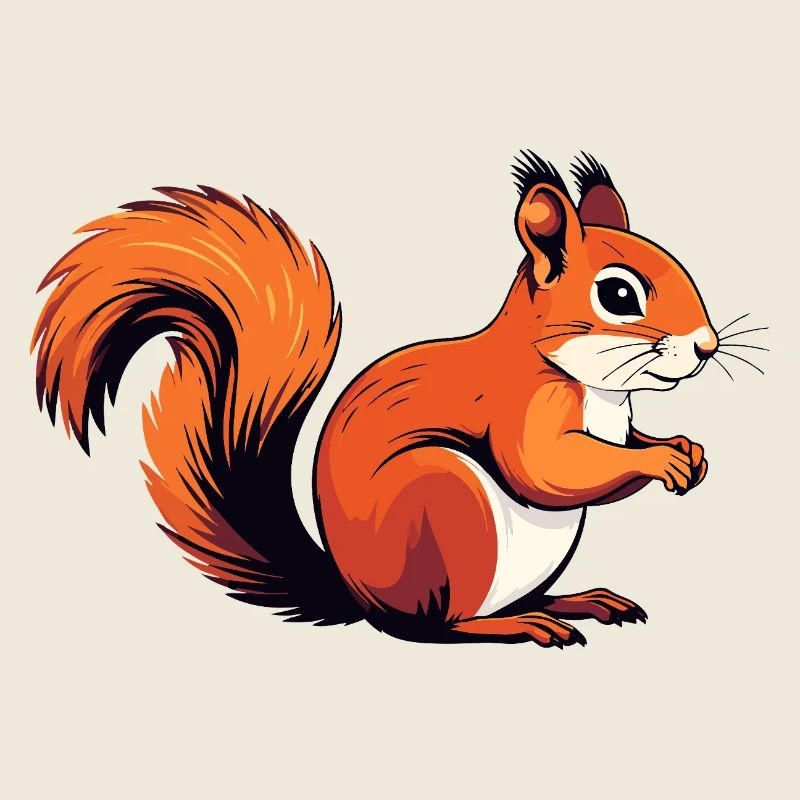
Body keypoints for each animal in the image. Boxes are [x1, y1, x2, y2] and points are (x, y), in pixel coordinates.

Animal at [32, 151, 719, 647]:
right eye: (619, 295)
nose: (707, 347)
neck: (596, 388)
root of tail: (357, 597)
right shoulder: (523, 407)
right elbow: (548, 470)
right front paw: (660, 461)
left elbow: (620, 449)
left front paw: (683, 449)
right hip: (445, 503)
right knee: (436, 627)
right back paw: (518, 625)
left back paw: (579, 601)